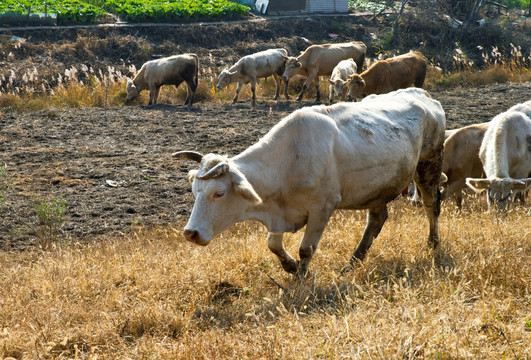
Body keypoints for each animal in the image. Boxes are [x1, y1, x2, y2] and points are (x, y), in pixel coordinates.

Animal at [174, 88, 444, 278]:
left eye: (218, 193)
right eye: (195, 192)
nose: (190, 233)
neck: (289, 159)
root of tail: (423, 96)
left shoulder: (322, 208)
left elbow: (306, 249)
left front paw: (300, 279)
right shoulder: (279, 209)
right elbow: (273, 244)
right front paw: (291, 266)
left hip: (428, 167)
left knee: (432, 205)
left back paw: (433, 244)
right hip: (377, 189)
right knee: (376, 220)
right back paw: (353, 261)